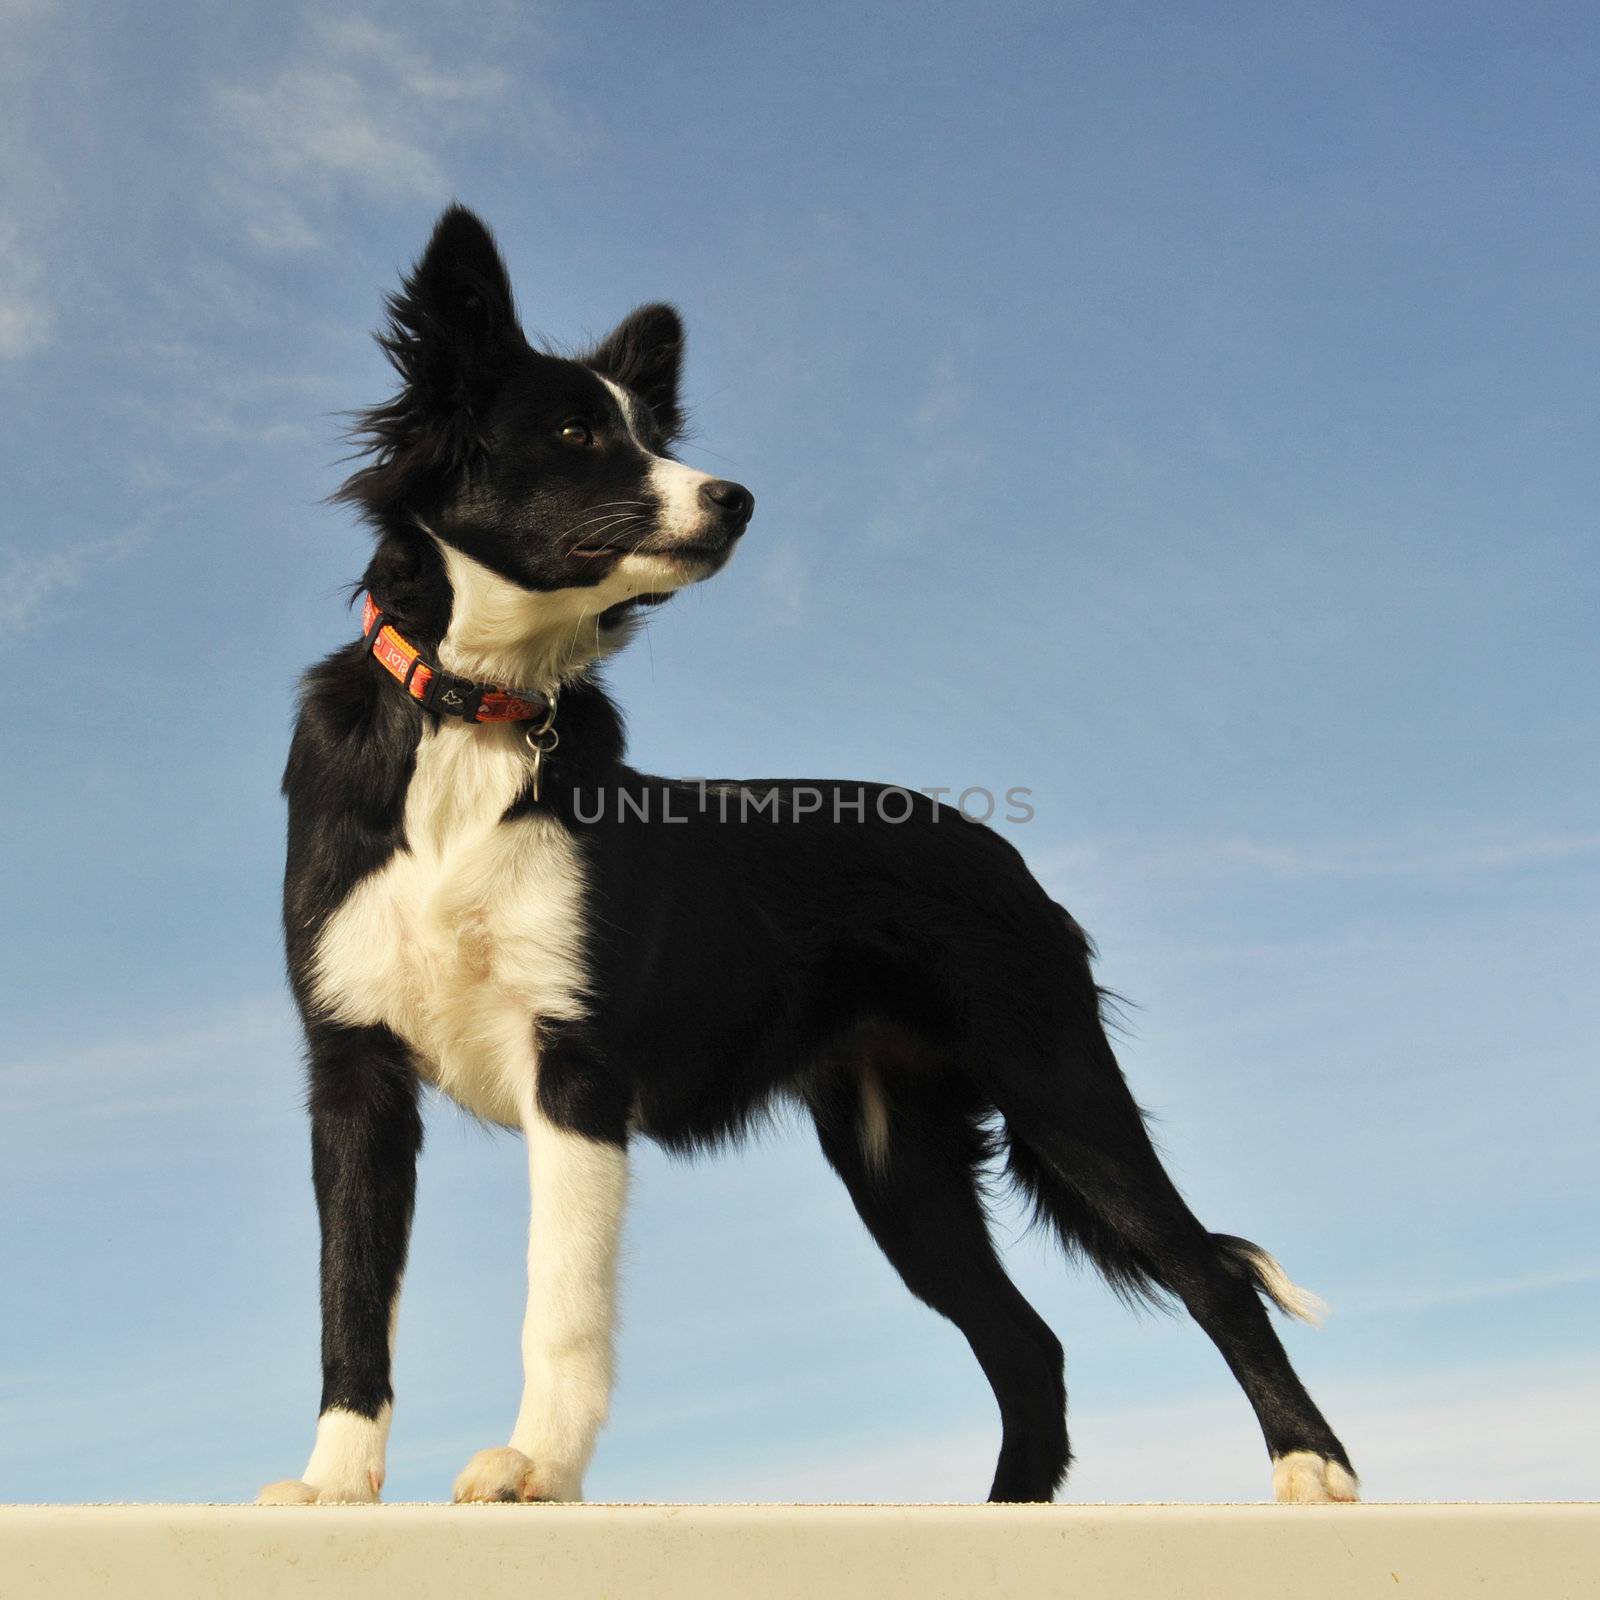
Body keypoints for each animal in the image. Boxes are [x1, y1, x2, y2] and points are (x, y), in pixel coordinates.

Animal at [259, 206, 1350, 1504]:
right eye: (576, 432)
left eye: (654, 433)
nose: (735, 498)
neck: (471, 711)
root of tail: (996, 851)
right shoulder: (353, 1069)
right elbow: (347, 1298)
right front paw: (331, 1486)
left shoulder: (575, 1064)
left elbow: (559, 1303)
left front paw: (533, 1465)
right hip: (902, 1157)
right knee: (1025, 1339)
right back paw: (1006, 1514)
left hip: (1056, 1079)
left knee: (1208, 1273)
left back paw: (1313, 1468)